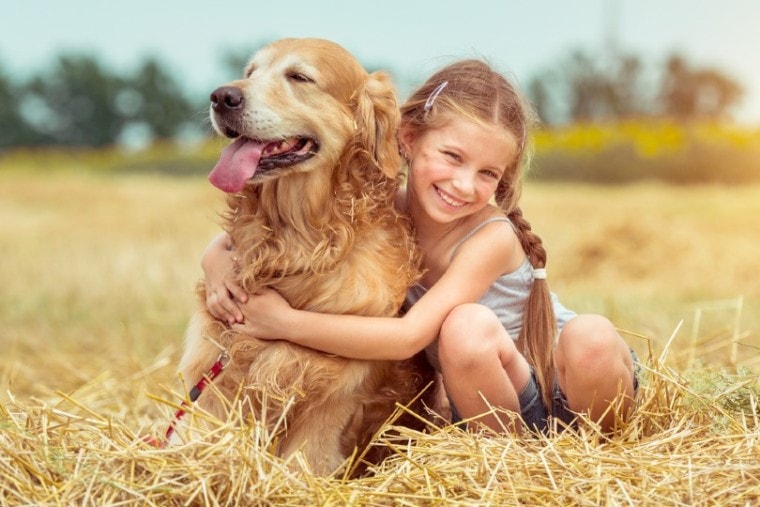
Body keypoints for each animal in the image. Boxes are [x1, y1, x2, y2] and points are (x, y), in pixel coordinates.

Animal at [172, 38, 434, 476]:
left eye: (299, 77)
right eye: (250, 71)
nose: (221, 97)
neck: (296, 244)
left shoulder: (337, 392)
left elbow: (304, 461)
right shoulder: (215, 370)